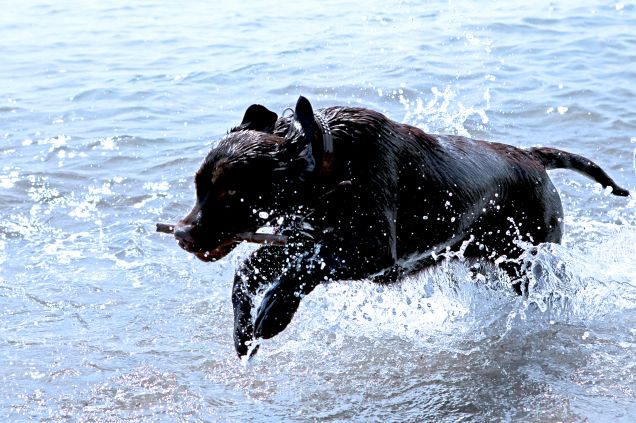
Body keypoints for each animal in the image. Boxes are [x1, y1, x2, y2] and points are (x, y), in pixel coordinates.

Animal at [170, 97, 632, 358]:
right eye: (198, 187)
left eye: (231, 194)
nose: (181, 234)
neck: (331, 164)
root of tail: (532, 157)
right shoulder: (307, 237)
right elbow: (251, 268)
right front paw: (242, 331)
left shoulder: (373, 252)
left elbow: (304, 270)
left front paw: (274, 314)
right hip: (484, 261)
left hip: (528, 259)